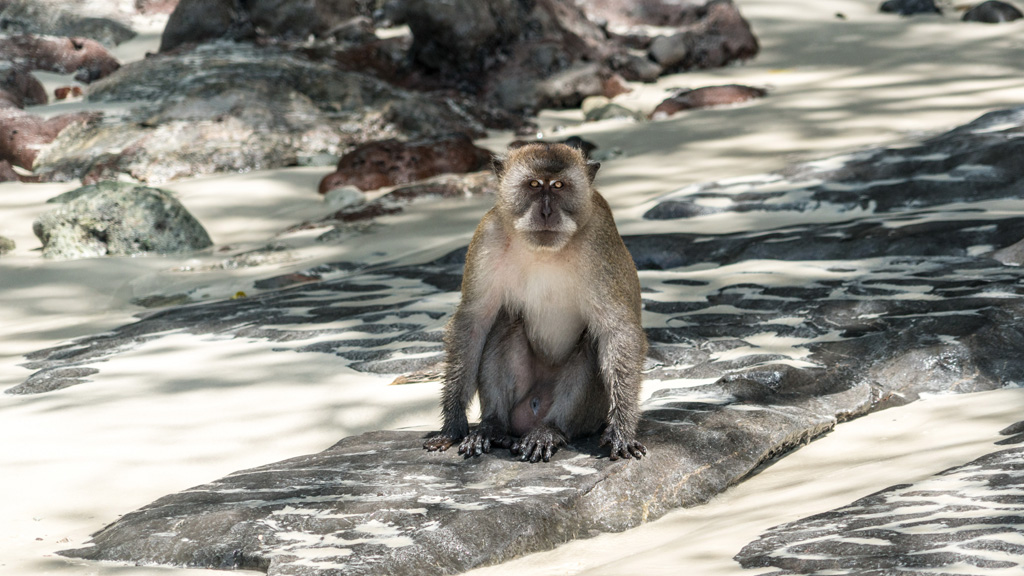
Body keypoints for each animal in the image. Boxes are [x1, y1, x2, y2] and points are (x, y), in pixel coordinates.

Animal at [423, 139, 647, 461]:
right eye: (533, 184)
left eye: (559, 185)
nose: (546, 212)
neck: (544, 251)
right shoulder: (487, 235)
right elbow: (474, 321)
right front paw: (452, 425)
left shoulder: (598, 242)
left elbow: (617, 330)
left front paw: (622, 430)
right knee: (505, 321)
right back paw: (492, 426)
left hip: (589, 415)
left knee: (591, 342)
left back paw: (549, 430)